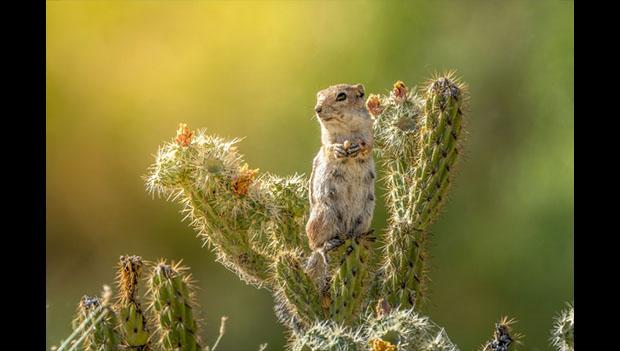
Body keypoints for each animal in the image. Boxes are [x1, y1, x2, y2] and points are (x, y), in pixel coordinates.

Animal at [306, 83, 378, 278]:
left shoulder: (369, 132)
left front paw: (357, 147)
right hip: (323, 216)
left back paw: (362, 236)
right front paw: (338, 149)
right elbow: (328, 148)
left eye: (341, 96)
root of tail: (345, 232)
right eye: (319, 97)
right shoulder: (325, 141)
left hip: (365, 217)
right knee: (314, 246)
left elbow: (368, 145)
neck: (345, 129)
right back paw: (325, 246)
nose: (317, 108)